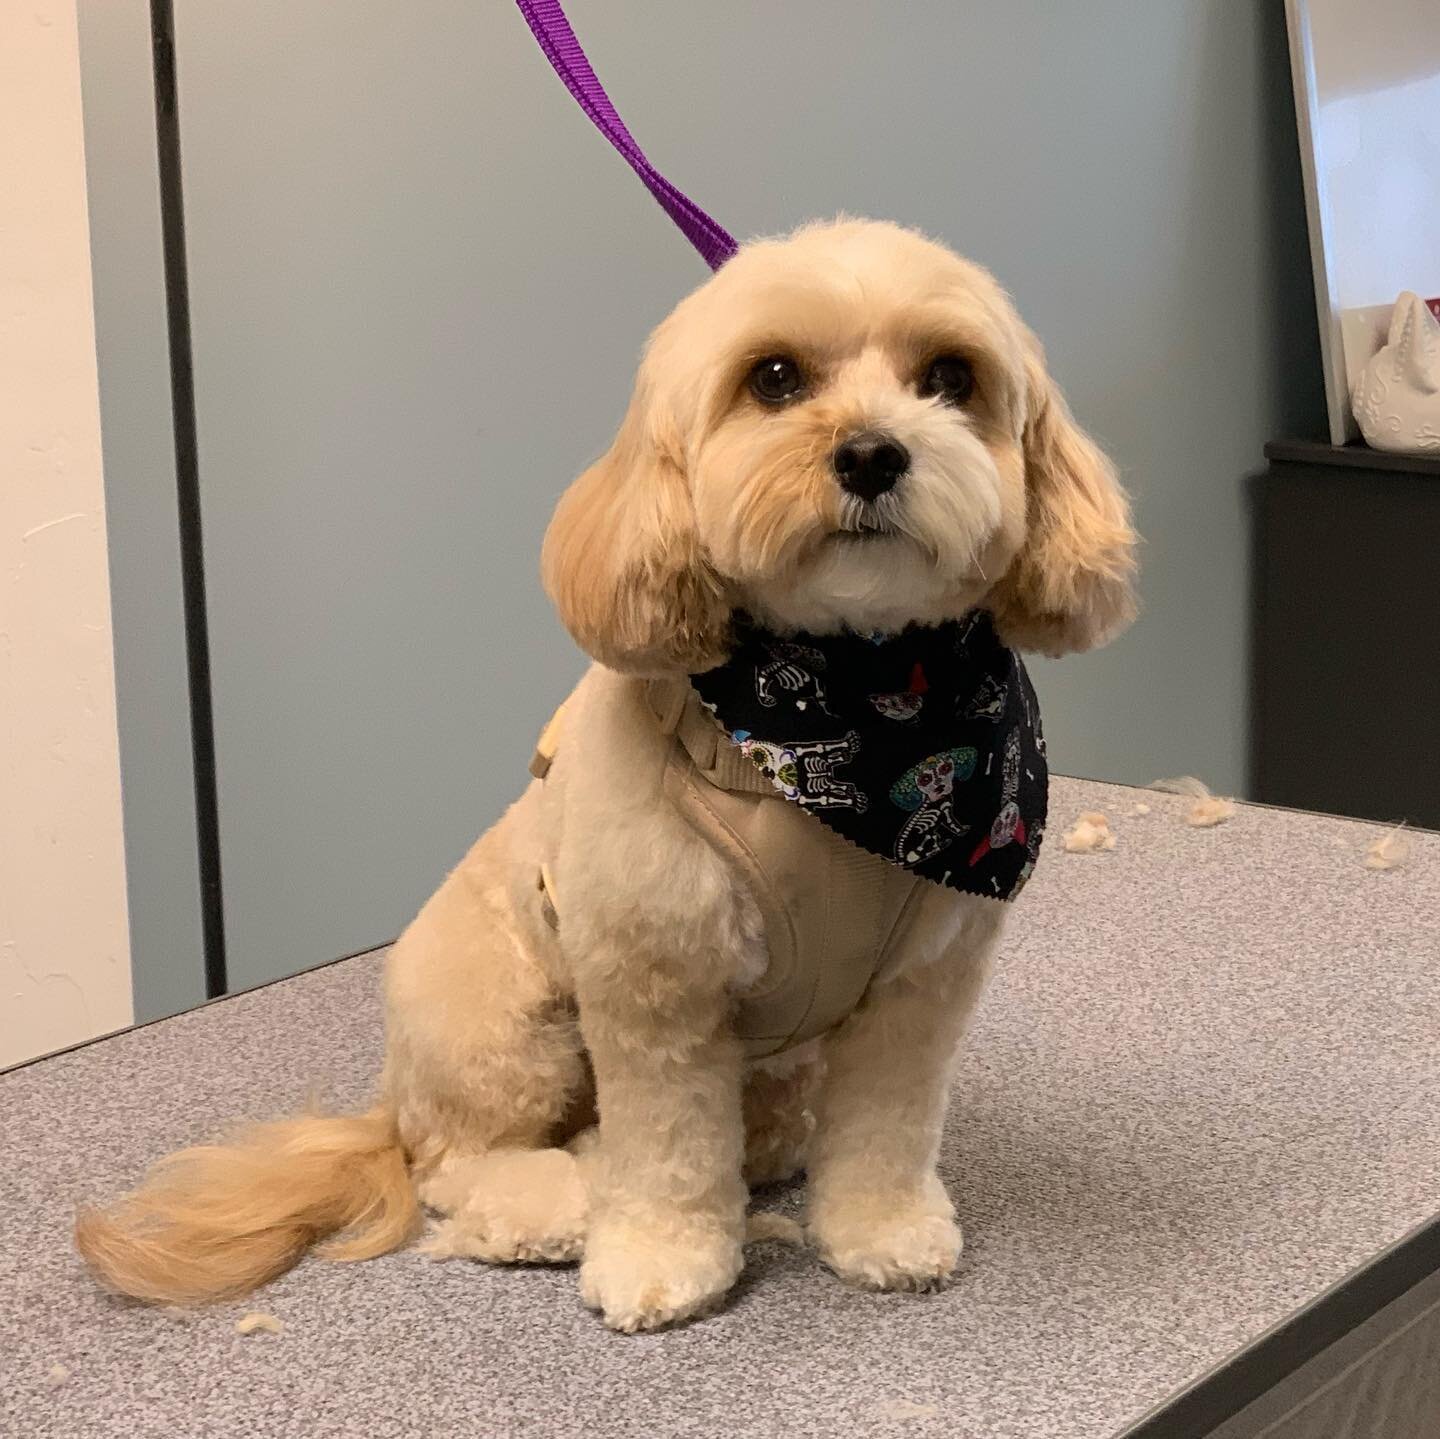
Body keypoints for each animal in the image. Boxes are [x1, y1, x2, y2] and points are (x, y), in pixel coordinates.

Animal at [78, 216, 1134, 1336]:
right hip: (508, 1026)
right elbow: (667, 1148)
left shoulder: (918, 983)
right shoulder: (654, 974)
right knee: (461, 1157)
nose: (871, 453)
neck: (849, 711)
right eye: (773, 377)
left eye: (949, 376)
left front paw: (882, 1230)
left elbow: (886, 1124)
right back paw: (562, 1195)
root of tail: (392, 1096)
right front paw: (662, 1259)